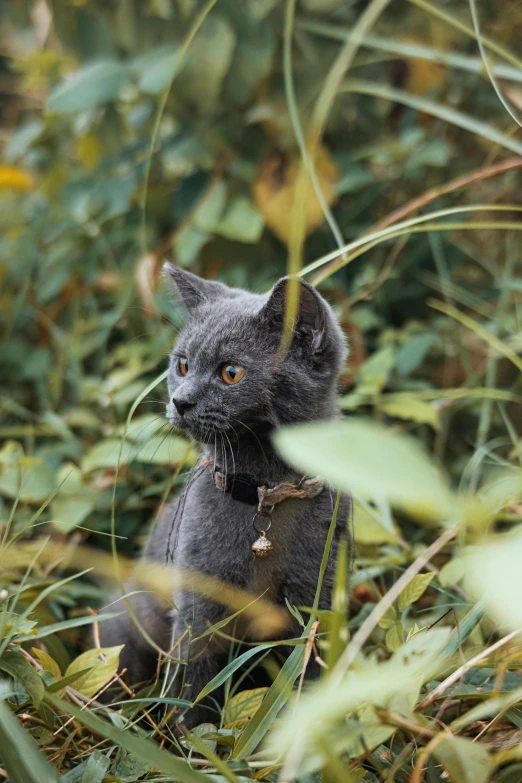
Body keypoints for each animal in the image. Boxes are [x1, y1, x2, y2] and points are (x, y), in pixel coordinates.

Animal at [98, 266, 350, 724]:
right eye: (182, 365)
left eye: (231, 372)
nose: (180, 400)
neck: (266, 494)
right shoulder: (199, 597)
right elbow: (194, 674)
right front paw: (187, 735)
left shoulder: (315, 595)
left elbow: (306, 670)